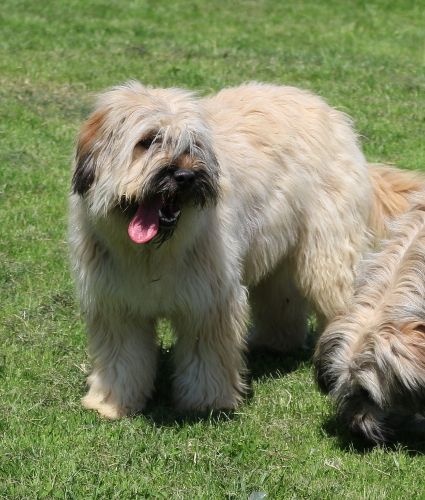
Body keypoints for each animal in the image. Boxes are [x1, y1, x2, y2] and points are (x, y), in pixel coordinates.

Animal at [69, 81, 423, 419]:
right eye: (147, 141)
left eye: (192, 146)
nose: (185, 176)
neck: (151, 253)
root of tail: (333, 115)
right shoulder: (116, 306)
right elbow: (123, 357)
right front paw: (111, 403)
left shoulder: (208, 302)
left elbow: (205, 356)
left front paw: (207, 403)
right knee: (281, 297)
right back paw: (276, 342)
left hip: (327, 255)